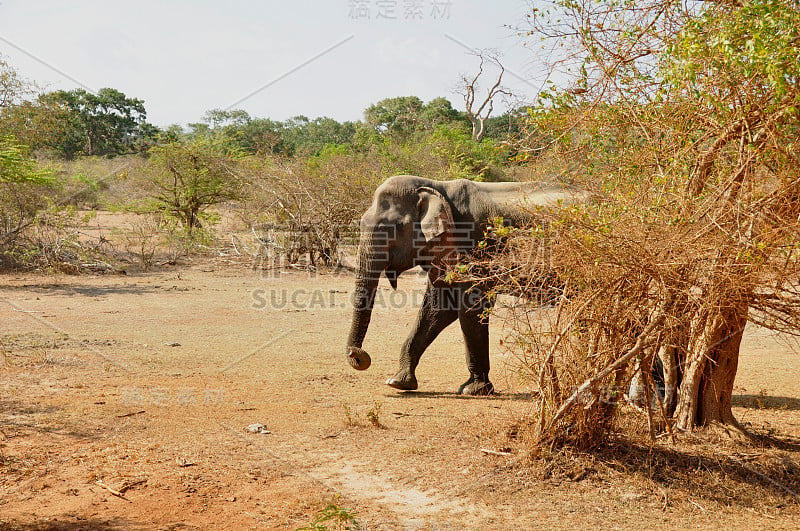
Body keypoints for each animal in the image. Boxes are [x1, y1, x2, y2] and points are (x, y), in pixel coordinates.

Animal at [344, 175, 588, 394]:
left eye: (393, 228)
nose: (358, 355)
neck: (436, 185)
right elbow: (439, 308)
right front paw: (398, 383)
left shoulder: (476, 243)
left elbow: (471, 307)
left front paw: (472, 390)